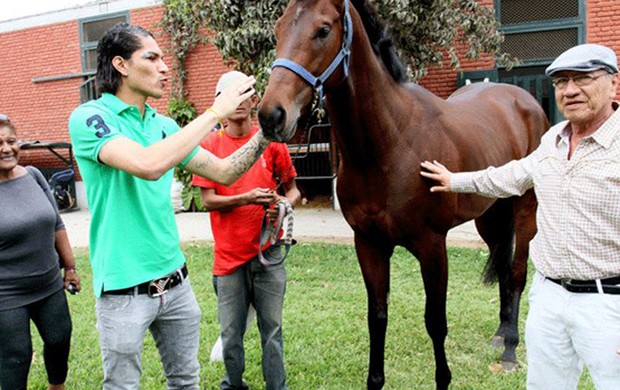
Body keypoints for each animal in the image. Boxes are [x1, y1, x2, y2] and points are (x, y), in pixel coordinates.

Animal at [260, 1, 548, 388]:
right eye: (277, 29)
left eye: (323, 30)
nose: (271, 115)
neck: (390, 143)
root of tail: (522, 100)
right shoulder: (369, 244)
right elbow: (377, 317)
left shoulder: (432, 246)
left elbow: (435, 322)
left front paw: (443, 379)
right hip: (490, 216)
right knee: (502, 266)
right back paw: (502, 334)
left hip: (524, 210)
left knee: (516, 273)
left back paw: (510, 351)